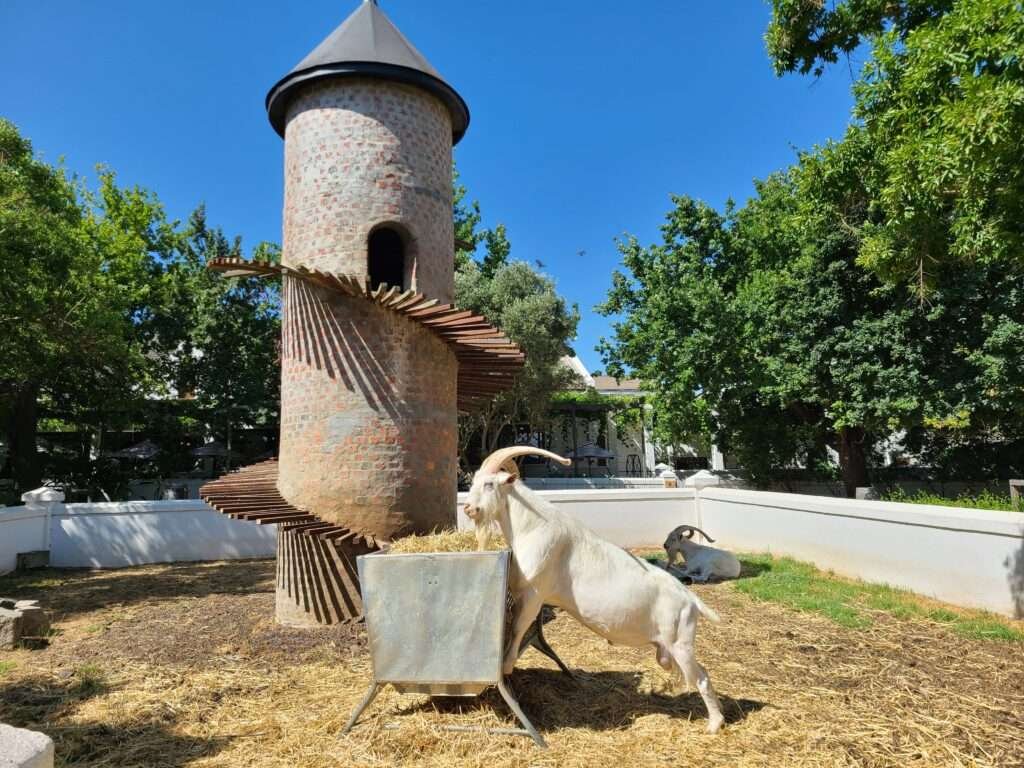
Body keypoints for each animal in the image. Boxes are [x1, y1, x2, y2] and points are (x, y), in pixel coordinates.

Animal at [464, 448, 729, 737]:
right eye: (474, 480)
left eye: (490, 484)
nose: (468, 508)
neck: (532, 526)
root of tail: (691, 600)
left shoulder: (535, 593)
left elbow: (519, 626)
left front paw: (506, 665)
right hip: (668, 649)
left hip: (680, 642)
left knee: (702, 677)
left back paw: (715, 724)